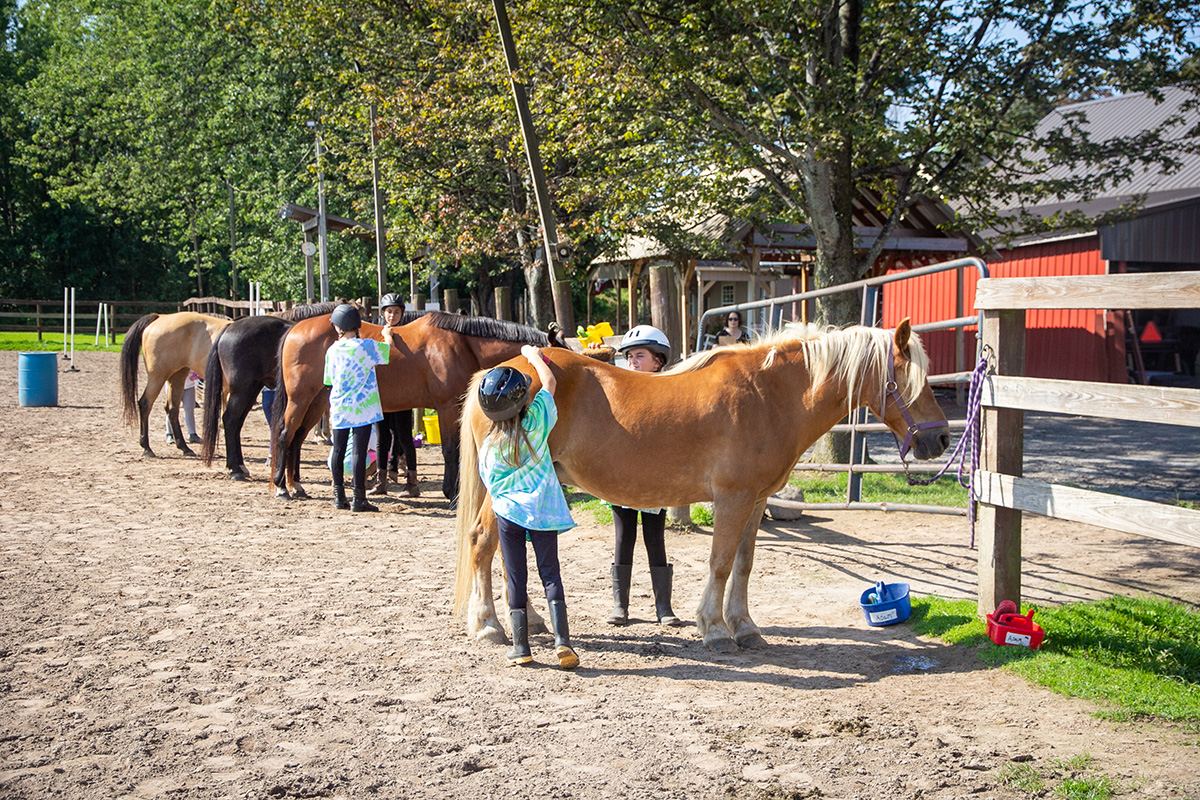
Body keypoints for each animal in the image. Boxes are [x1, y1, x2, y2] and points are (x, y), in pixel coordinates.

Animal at [121, 311, 231, 455]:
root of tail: (160, 317)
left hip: (177, 375)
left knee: (172, 408)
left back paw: (183, 446)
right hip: (158, 376)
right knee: (145, 404)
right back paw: (147, 447)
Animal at [194, 302, 340, 479]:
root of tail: (230, 326)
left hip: (251, 391)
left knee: (237, 423)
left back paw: (240, 465)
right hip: (242, 390)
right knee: (230, 419)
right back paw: (236, 469)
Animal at [274, 311, 564, 501]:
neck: (463, 345)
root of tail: (294, 329)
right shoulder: (447, 407)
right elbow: (450, 450)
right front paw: (451, 492)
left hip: (317, 401)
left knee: (296, 439)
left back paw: (296, 485)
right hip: (300, 399)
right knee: (285, 435)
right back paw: (282, 488)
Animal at [453, 321, 950, 652]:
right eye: (912, 379)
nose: (941, 439)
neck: (769, 396)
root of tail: (495, 374)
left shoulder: (755, 501)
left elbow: (744, 565)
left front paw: (745, 626)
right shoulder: (732, 498)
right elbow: (720, 563)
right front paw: (713, 628)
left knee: (505, 552)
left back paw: (531, 620)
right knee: (482, 541)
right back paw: (489, 626)